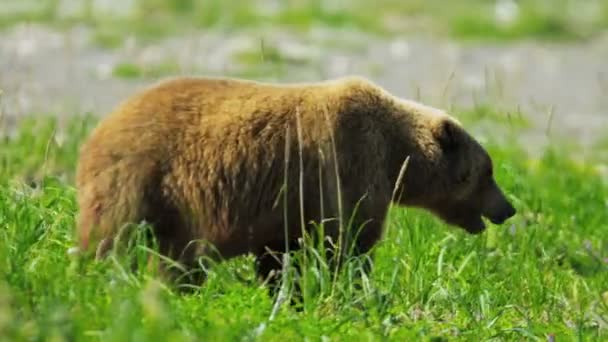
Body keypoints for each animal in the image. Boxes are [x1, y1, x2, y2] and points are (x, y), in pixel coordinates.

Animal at [73, 76, 516, 284]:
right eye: (489, 171)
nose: (508, 208)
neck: (397, 156)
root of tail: (94, 137)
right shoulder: (349, 167)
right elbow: (349, 243)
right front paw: (351, 288)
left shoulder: (288, 207)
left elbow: (281, 255)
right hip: (141, 184)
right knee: (116, 242)